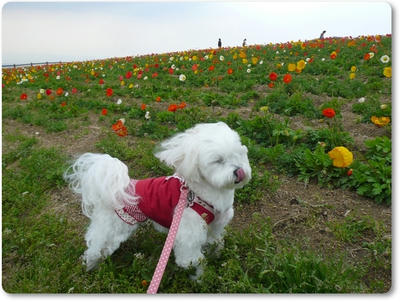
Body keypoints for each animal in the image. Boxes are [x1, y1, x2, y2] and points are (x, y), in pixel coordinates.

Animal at [64, 121, 252, 278]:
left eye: (239, 154)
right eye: (218, 161)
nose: (240, 172)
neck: (204, 193)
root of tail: (118, 188)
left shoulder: (215, 225)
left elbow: (216, 242)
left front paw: (216, 255)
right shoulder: (188, 235)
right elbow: (194, 260)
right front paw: (201, 278)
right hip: (112, 227)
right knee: (96, 247)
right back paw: (90, 266)